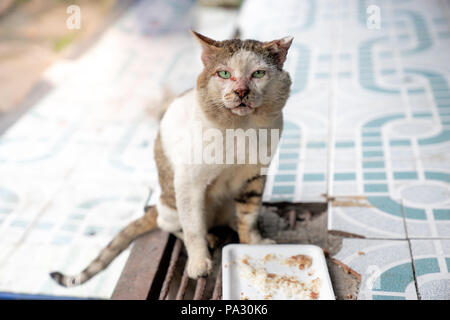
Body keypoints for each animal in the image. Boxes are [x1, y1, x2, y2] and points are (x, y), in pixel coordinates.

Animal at [51, 31, 294, 288]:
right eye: (224, 74)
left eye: (258, 73)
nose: (241, 92)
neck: (242, 129)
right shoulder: (188, 182)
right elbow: (193, 229)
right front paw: (198, 264)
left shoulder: (255, 176)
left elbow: (248, 216)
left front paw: (254, 243)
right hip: (171, 204)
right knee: (170, 225)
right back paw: (207, 237)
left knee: (233, 217)